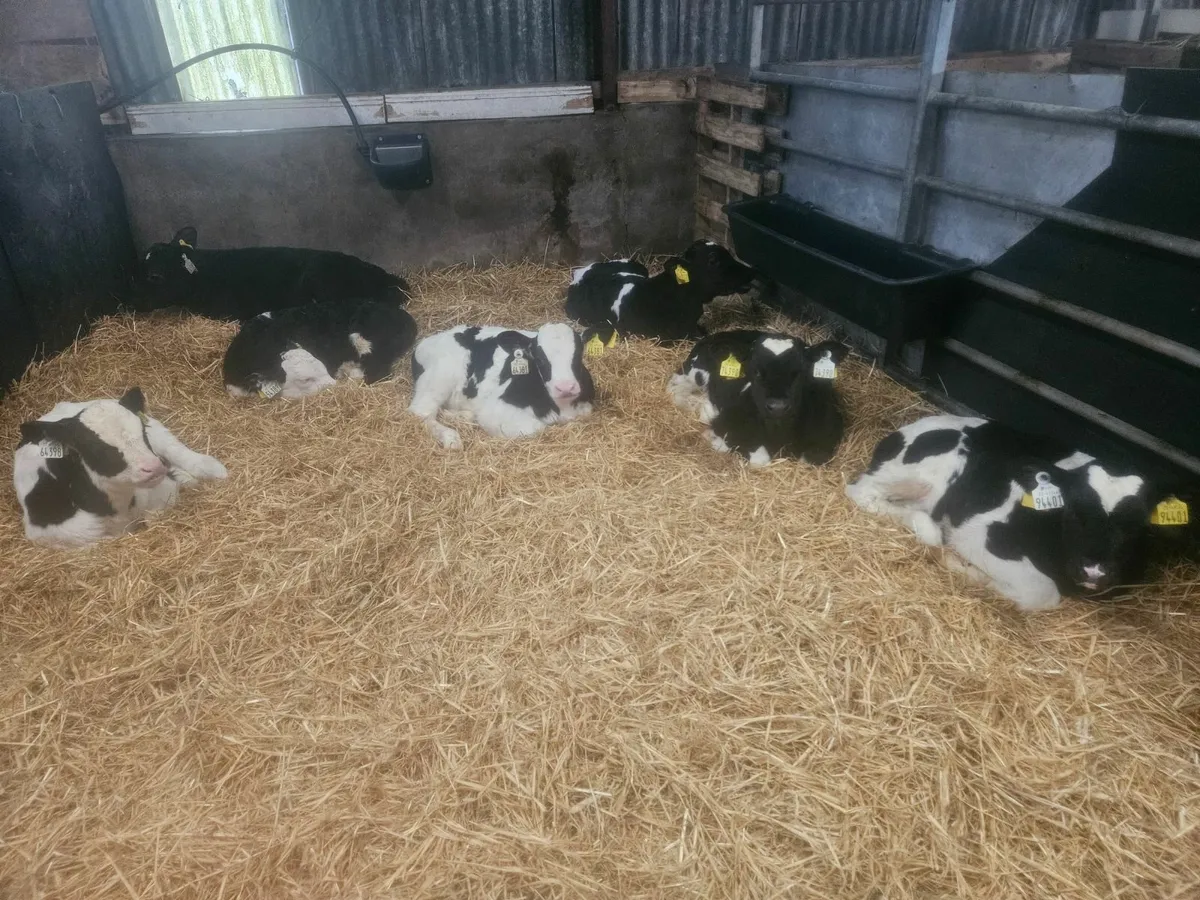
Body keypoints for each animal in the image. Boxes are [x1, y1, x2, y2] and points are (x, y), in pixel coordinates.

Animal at [408, 323, 596, 449]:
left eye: (579, 354)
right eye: (539, 357)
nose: (566, 387)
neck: (562, 407)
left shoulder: (586, 408)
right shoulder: (493, 411)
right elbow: (538, 428)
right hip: (439, 377)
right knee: (420, 412)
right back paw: (450, 438)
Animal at [670, 330, 849, 467]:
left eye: (799, 373)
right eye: (755, 371)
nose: (777, 407)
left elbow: (810, 459)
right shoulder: (727, 423)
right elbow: (760, 459)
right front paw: (714, 439)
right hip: (690, 375)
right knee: (674, 390)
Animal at [845, 414, 1184, 611]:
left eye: (1137, 525)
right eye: (1074, 511)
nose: (1094, 571)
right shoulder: (980, 533)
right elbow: (1042, 592)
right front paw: (959, 566)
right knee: (862, 491)